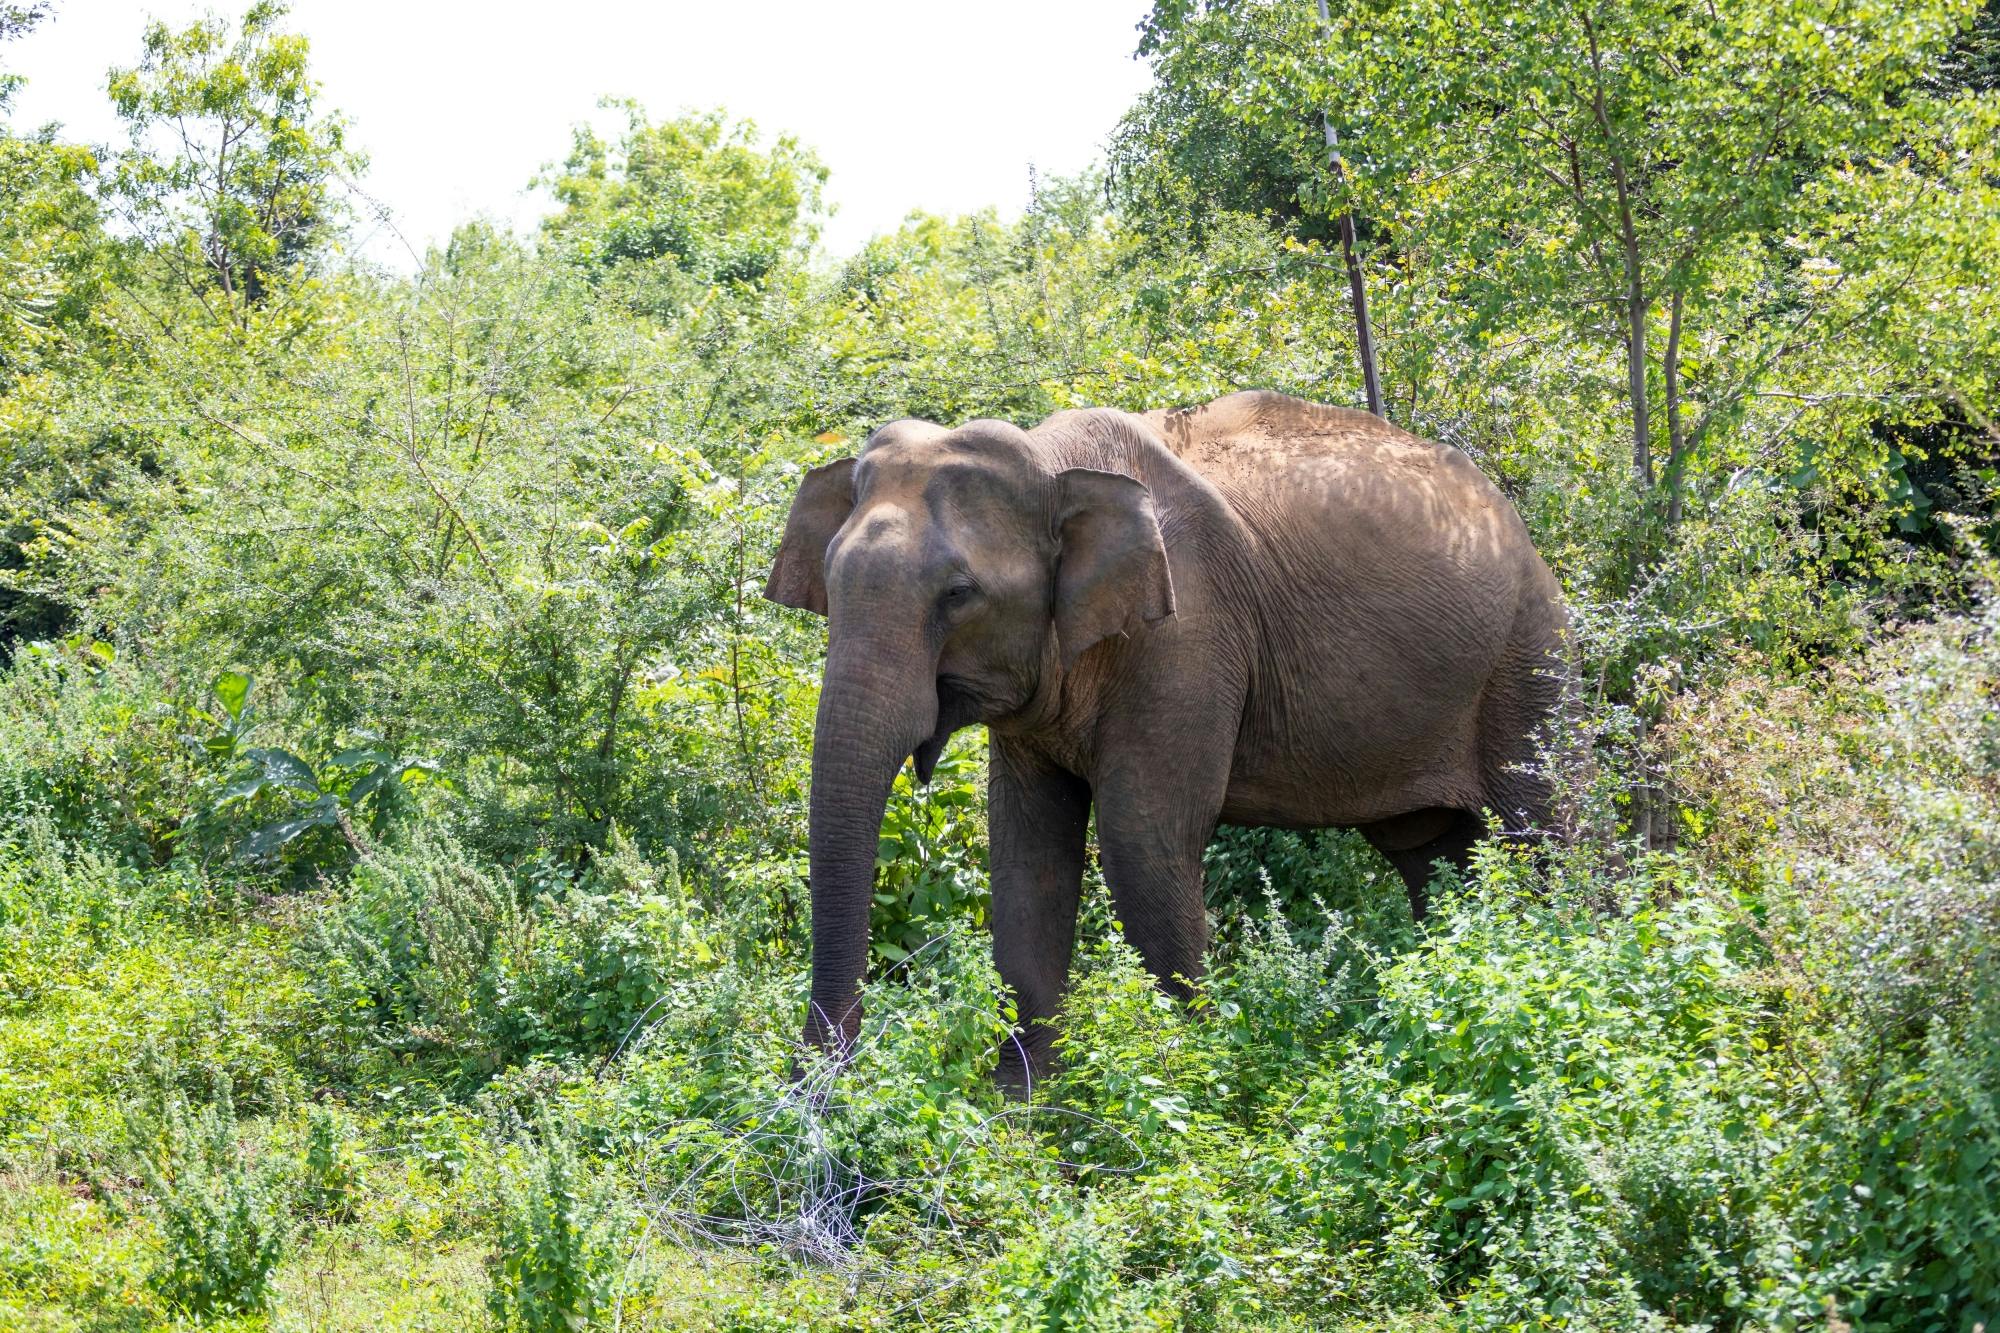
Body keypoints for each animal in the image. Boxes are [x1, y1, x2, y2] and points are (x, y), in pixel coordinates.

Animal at [760, 386, 1560, 1088]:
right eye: (829, 580)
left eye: (959, 595)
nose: (816, 1090)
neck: (1052, 462)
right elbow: (1027, 852)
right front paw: (1024, 1107)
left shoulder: (1189, 634)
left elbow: (1143, 840)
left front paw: (1183, 1082)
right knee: (1431, 850)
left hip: (1530, 656)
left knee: (1542, 831)